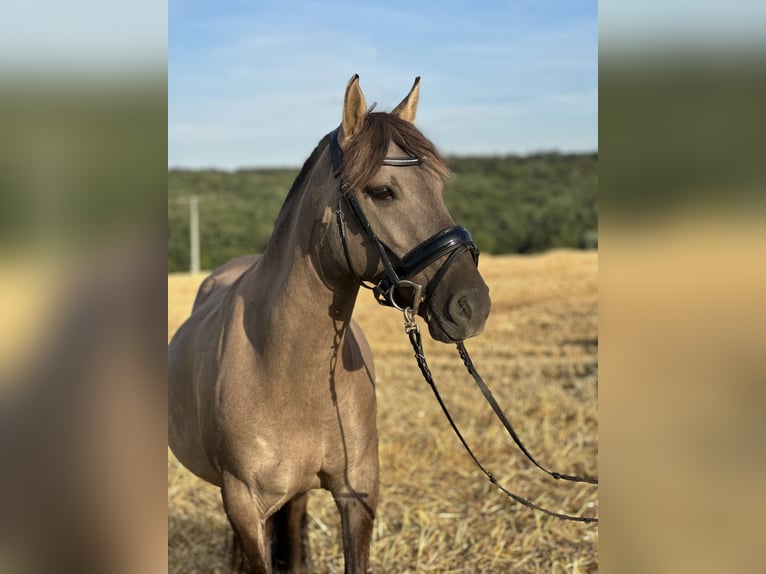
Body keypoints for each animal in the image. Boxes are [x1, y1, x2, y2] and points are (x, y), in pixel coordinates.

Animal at [168, 74, 491, 573]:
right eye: (382, 192)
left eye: (439, 185)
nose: (472, 304)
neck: (284, 369)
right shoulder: (243, 503)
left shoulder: (357, 492)